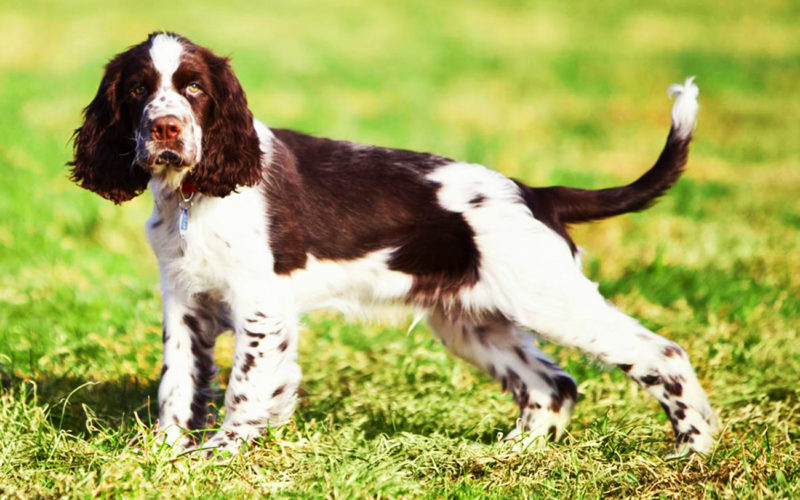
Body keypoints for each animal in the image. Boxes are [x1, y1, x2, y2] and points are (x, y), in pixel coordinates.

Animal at [69, 30, 716, 454]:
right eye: (137, 91)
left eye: (196, 89)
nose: (165, 128)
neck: (194, 194)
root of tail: (536, 193)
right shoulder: (184, 302)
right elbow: (177, 385)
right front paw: (163, 455)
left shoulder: (261, 306)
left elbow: (244, 389)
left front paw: (221, 455)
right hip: (472, 321)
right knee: (551, 385)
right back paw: (510, 455)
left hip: (549, 299)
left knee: (662, 355)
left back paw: (694, 448)